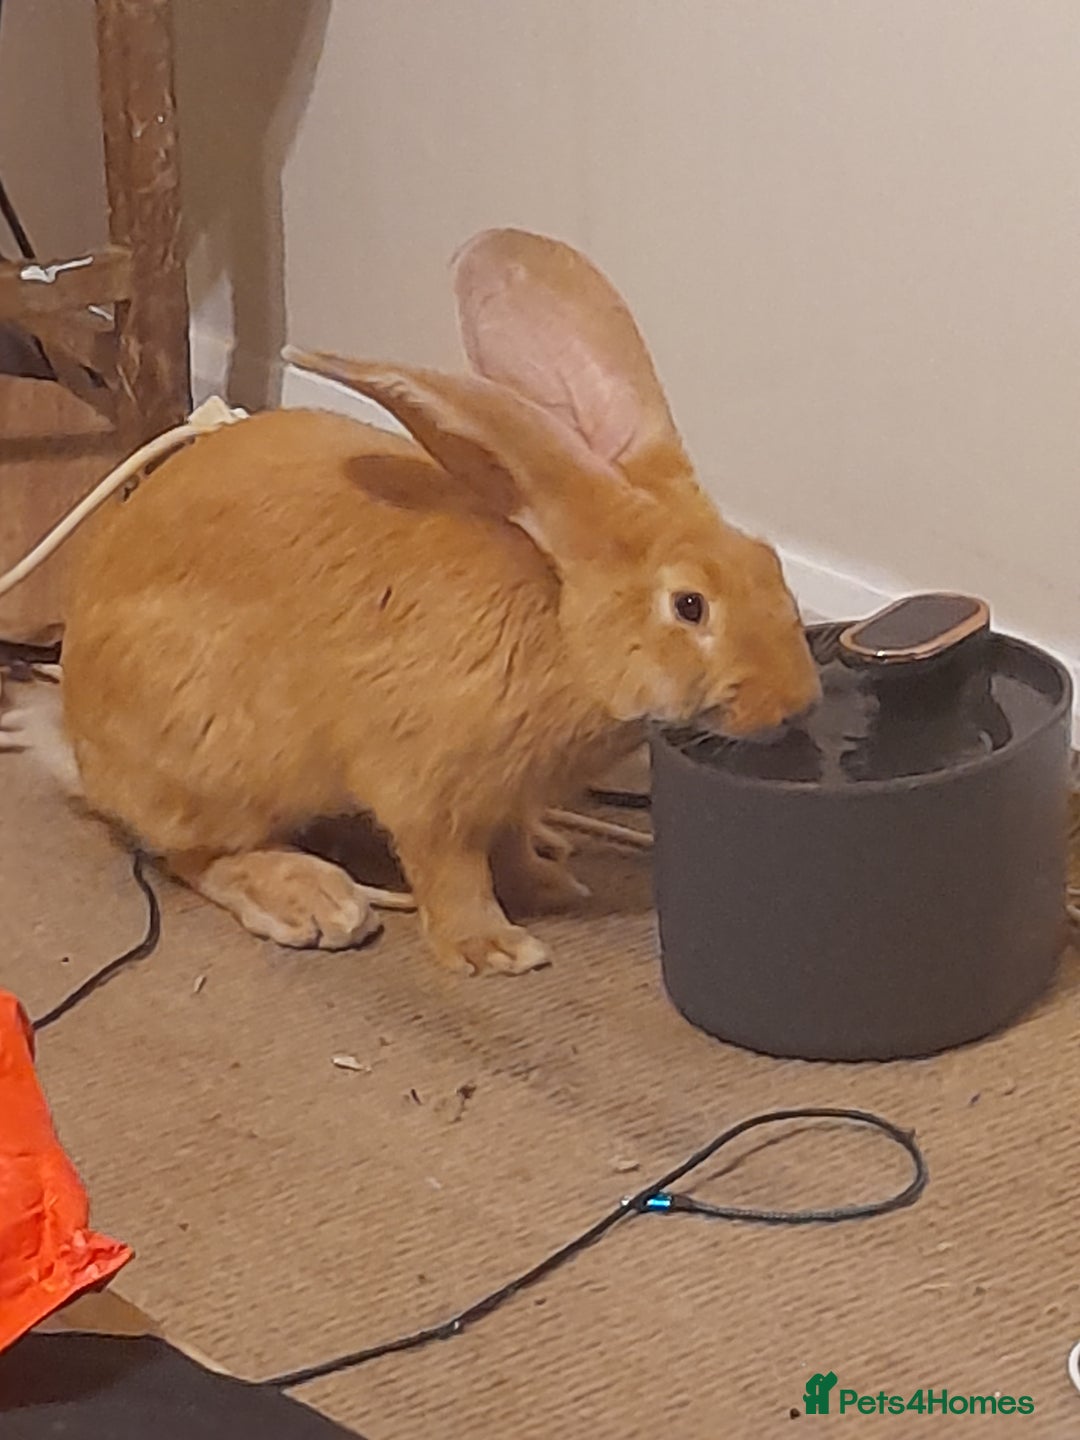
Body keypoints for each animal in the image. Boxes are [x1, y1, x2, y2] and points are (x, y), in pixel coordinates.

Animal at [59, 227, 820, 976]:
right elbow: (450, 872)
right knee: (191, 855)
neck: (567, 629)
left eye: (769, 562)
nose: (797, 703)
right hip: (208, 757)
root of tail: (80, 746)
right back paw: (312, 900)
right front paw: (496, 948)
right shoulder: (430, 791)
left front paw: (548, 884)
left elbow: (508, 847)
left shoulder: (504, 797)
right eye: (690, 606)